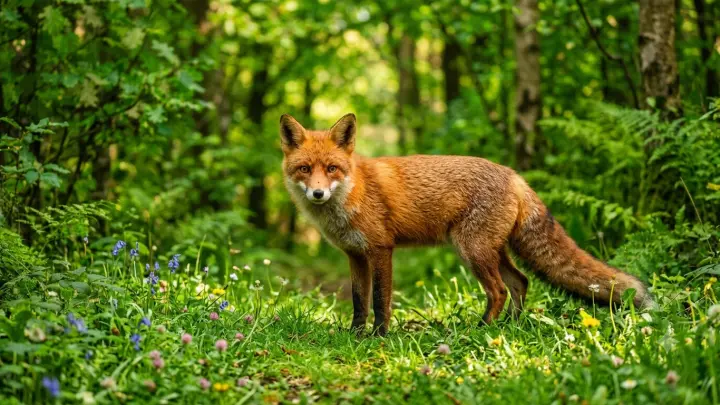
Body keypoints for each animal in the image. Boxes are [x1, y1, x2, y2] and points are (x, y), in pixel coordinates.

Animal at [280, 113, 653, 336]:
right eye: (304, 169)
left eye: (331, 168)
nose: (317, 193)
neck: (352, 193)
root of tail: (514, 175)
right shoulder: (355, 255)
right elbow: (359, 301)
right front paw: (356, 336)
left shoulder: (381, 249)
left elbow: (379, 301)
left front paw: (378, 337)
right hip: (492, 251)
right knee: (520, 282)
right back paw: (510, 326)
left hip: (471, 250)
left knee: (499, 290)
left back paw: (482, 329)